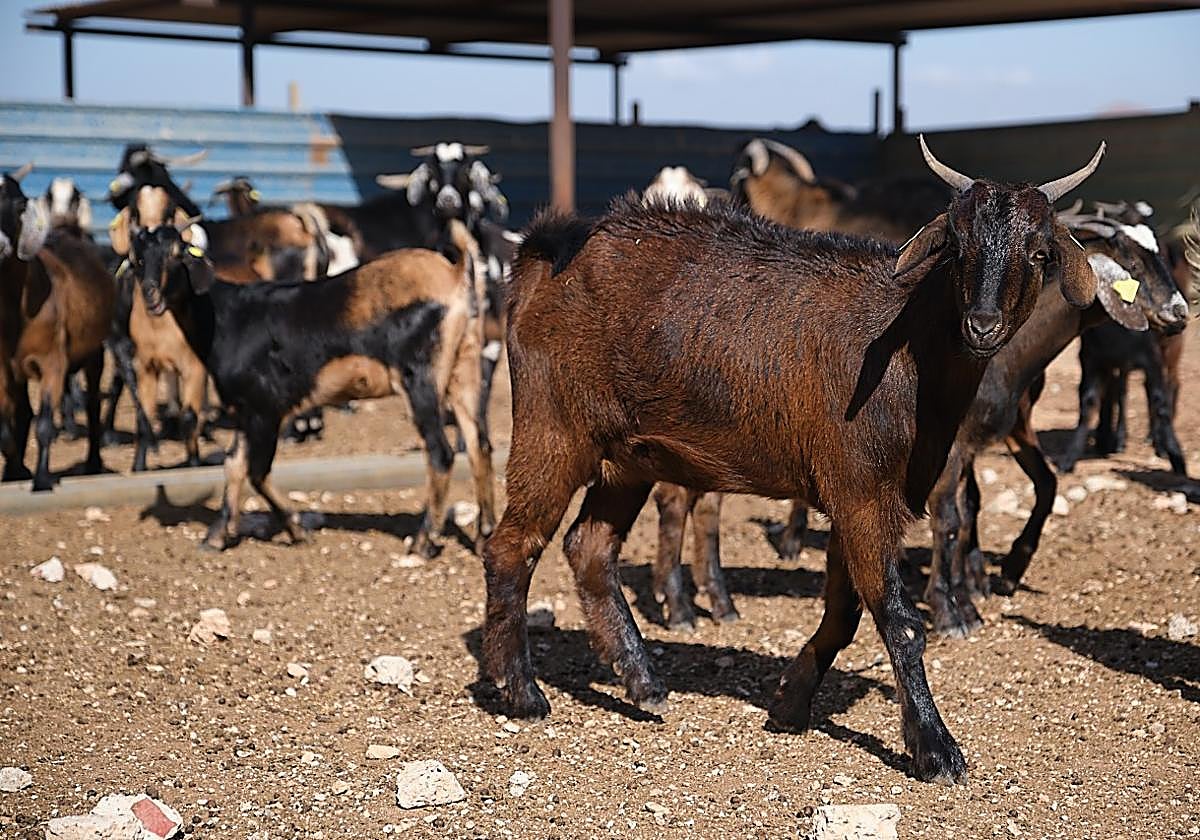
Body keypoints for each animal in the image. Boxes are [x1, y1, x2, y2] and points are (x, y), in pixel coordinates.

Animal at [0, 164, 114, 491]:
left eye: (18, 205)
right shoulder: (3, 366)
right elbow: (6, 426)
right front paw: (15, 470)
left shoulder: (52, 361)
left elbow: (45, 424)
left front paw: (41, 480)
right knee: (23, 412)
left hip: (94, 353)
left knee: (91, 404)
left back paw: (93, 463)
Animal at [128, 217, 496, 555]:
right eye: (138, 259)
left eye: (177, 254)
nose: (150, 295)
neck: (225, 316)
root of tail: (455, 273)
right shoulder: (247, 409)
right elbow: (234, 464)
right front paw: (215, 537)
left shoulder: (266, 407)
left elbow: (256, 470)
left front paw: (296, 530)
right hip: (464, 368)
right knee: (479, 445)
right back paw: (485, 537)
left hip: (420, 376)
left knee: (441, 452)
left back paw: (422, 542)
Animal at [483, 137, 1103, 783]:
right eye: (957, 248)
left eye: (1039, 253)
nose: (982, 325)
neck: (912, 348)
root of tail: (543, 247)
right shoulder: (861, 492)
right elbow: (899, 621)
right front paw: (935, 747)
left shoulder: (855, 499)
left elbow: (843, 612)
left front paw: (790, 702)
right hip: (553, 427)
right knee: (513, 546)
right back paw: (521, 691)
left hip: (628, 458)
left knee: (590, 547)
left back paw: (644, 681)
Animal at [1058, 203, 1193, 476]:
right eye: (1132, 264)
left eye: (1160, 257)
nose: (1179, 311)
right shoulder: (1091, 357)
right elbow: (1089, 400)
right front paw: (1071, 457)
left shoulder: (1151, 357)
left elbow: (1159, 400)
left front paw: (1174, 456)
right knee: (1118, 391)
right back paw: (1112, 439)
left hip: (1172, 347)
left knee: (1171, 384)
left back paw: (1155, 440)